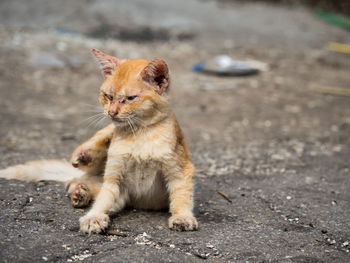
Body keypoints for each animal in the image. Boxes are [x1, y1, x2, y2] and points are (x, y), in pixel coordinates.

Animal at [0, 48, 197, 234]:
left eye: (130, 98)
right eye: (108, 96)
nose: (112, 112)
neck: (139, 135)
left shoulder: (179, 171)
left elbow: (181, 196)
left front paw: (182, 217)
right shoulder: (113, 178)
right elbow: (103, 199)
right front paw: (93, 217)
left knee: (78, 180)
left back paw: (81, 191)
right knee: (81, 171)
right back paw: (84, 161)